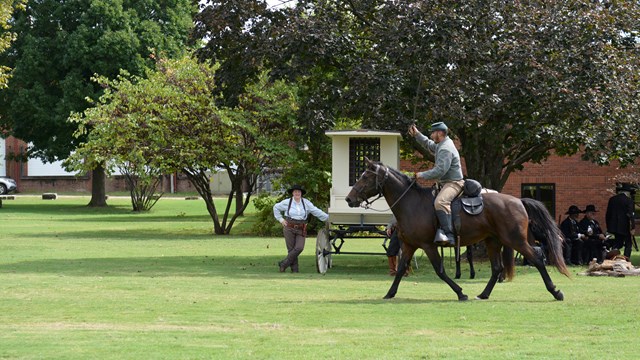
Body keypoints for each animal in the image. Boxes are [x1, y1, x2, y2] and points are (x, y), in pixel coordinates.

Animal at [344, 159, 568, 302]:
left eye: (365, 177)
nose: (349, 199)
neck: (411, 203)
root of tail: (518, 201)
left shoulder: (428, 246)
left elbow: (440, 271)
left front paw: (460, 293)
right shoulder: (409, 246)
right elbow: (400, 270)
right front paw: (390, 293)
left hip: (516, 241)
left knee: (537, 258)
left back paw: (556, 292)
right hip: (493, 242)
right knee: (497, 268)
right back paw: (484, 294)